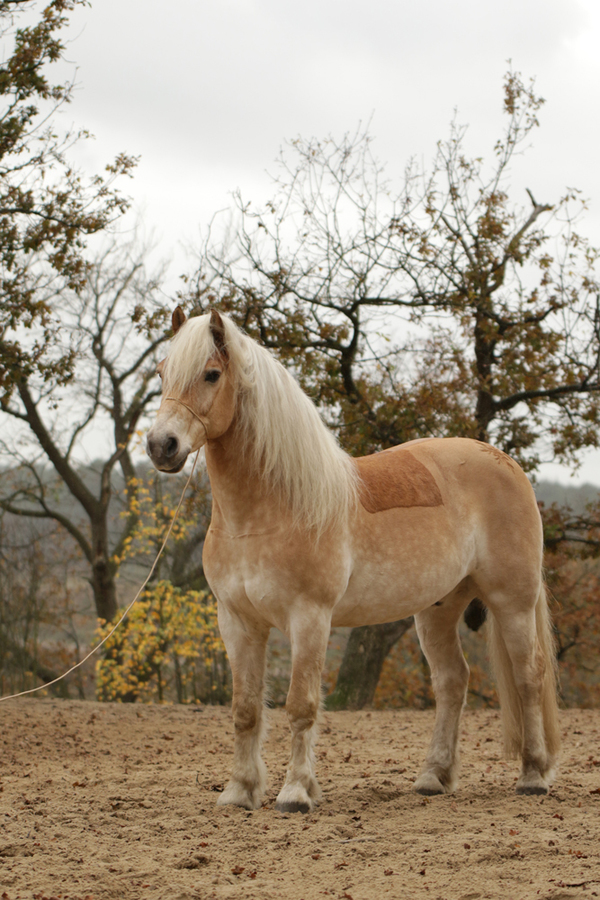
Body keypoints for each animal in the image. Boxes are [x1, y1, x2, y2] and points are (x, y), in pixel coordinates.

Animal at [148, 308, 560, 816]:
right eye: (161, 372)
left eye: (211, 374)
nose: (161, 446)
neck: (269, 511)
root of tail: (505, 463)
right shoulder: (237, 621)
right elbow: (245, 709)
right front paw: (240, 791)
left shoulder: (309, 617)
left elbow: (301, 705)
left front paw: (295, 792)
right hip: (438, 609)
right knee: (452, 682)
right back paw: (433, 777)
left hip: (512, 601)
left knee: (528, 677)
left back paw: (533, 775)